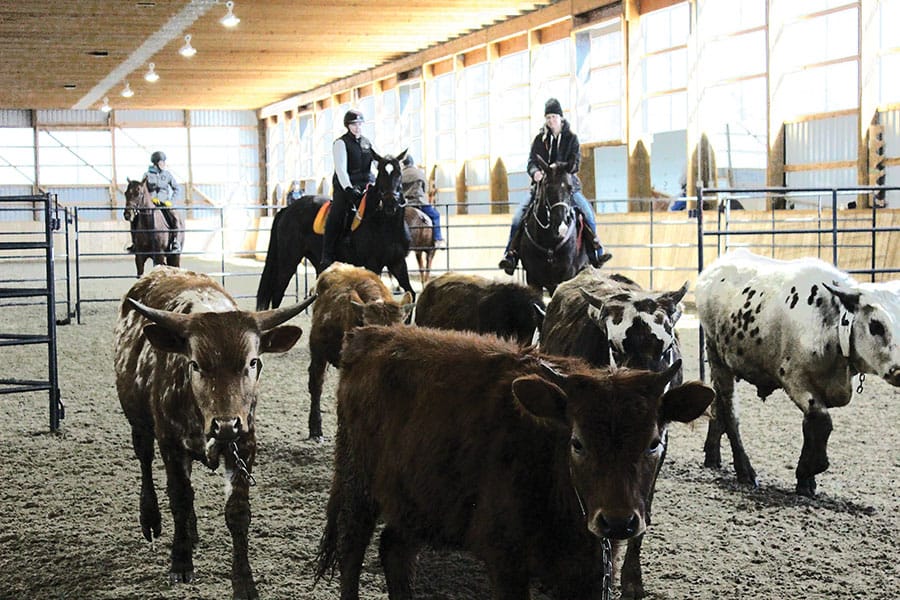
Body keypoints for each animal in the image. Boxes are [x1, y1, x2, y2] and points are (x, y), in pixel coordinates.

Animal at [113, 265, 314, 599]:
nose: (226, 424)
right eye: (195, 364)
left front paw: (244, 582)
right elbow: (179, 498)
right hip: (137, 421)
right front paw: (180, 562)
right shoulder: (170, 442)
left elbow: (237, 512)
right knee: (145, 462)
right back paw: (151, 520)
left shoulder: (245, 444)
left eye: (253, 361)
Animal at [314, 325, 715, 599]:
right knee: (351, 552)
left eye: (654, 443)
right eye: (577, 443)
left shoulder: (590, 570)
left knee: (395, 550)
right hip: (357, 487)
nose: (617, 521)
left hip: (418, 504)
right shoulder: (506, 559)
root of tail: (371, 335)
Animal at [696, 249, 900, 496]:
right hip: (717, 356)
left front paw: (806, 480)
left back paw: (712, 455)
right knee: (729, 412)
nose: (899, 370)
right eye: (876, 325)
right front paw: (809, 469)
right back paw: (744, 470)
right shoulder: (794, 379)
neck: (830, 325)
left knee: (717, 404)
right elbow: (821, 421)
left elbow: (810, 426)